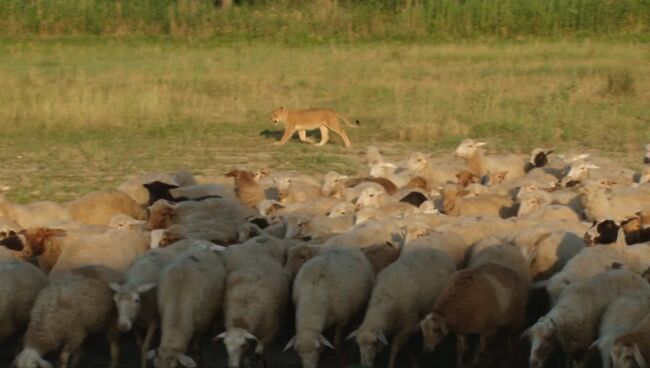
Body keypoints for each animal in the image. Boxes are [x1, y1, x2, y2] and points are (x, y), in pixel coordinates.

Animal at [520, 268, 648, 368]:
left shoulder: (586, 346)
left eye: (548, 338)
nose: (533, 363)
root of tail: (637, 276)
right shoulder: (569, 345)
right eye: (530, 339)